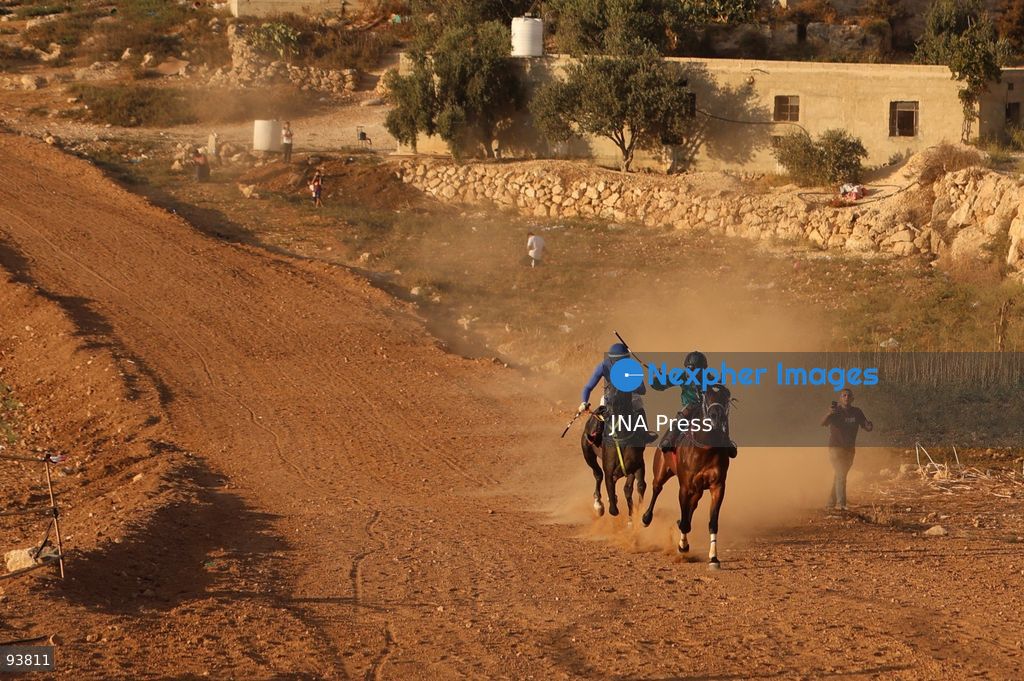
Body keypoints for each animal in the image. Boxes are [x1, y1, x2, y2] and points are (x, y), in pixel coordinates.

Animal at [580, 392, 648, 522]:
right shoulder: (609, 466)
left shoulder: (637, 462)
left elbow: (636, 486)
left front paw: (634, 518)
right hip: (587, 453)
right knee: (598, 474)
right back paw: (599, 505)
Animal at [640, 384, 737, 568]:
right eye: (707, 395)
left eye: (726, 397)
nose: (717, 416)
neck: (706, 448)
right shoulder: (685, 487)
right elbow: (685, 521)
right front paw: (683, 546)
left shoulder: (718, 486)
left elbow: (712, 522)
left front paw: (713, 558)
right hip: (662, 471)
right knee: (657, 489)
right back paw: (646, 518)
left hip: (697, 490)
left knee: (692, 506)